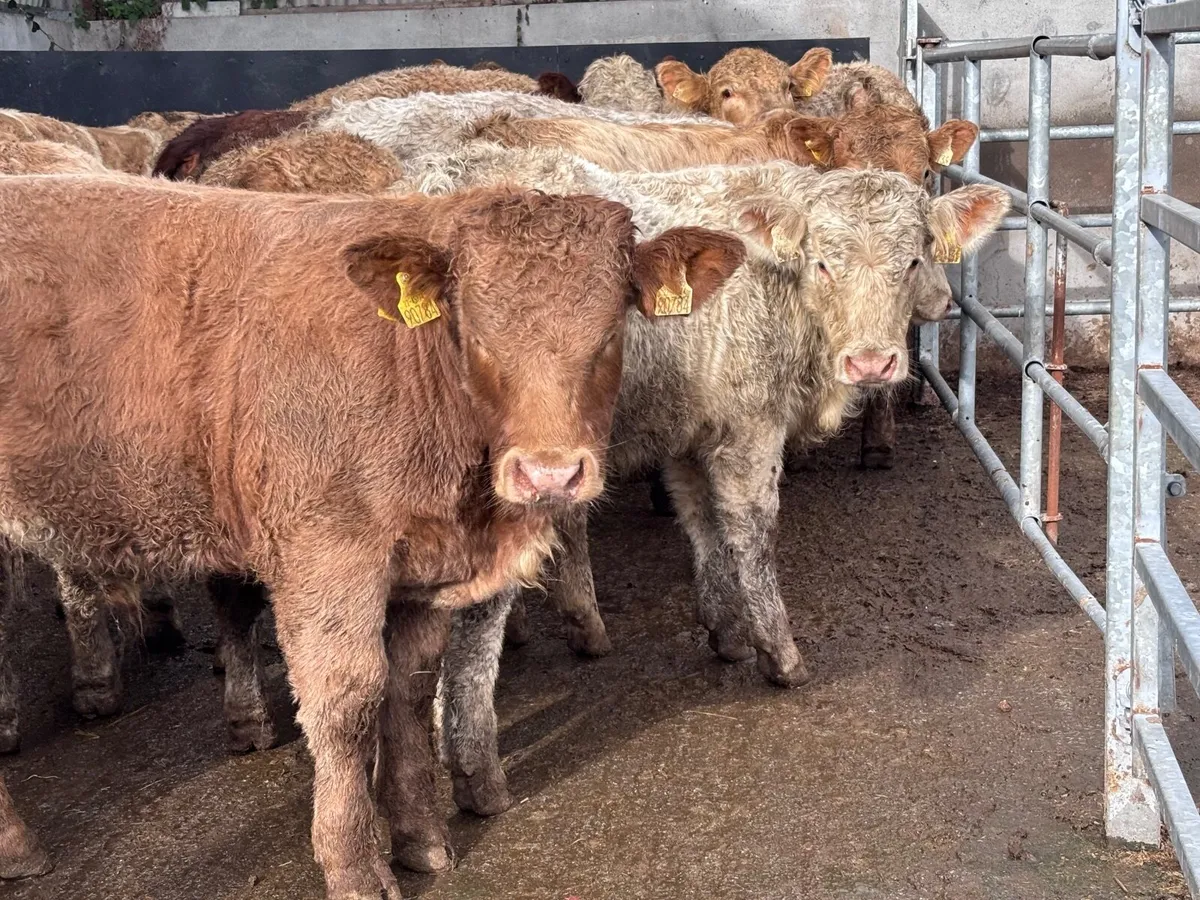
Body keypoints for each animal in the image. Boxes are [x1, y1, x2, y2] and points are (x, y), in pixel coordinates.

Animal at [0, 174, 744, 893]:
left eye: (609, 334)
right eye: (477, 338)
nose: (549, 474)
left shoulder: (426, 568)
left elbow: (409, 690)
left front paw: (420, 841)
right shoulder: (326, 556)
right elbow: (347, 703)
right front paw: (354, 866)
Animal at [395, 145, 1009, 819]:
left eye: (913, 259)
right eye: (823, 262)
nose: (871, 362)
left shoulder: (694, 431)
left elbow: (705, 525)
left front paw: (726, 631)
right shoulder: (752, 425)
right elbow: (751, 530)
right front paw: (778, 653)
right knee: (476, 617)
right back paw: (476, 773)